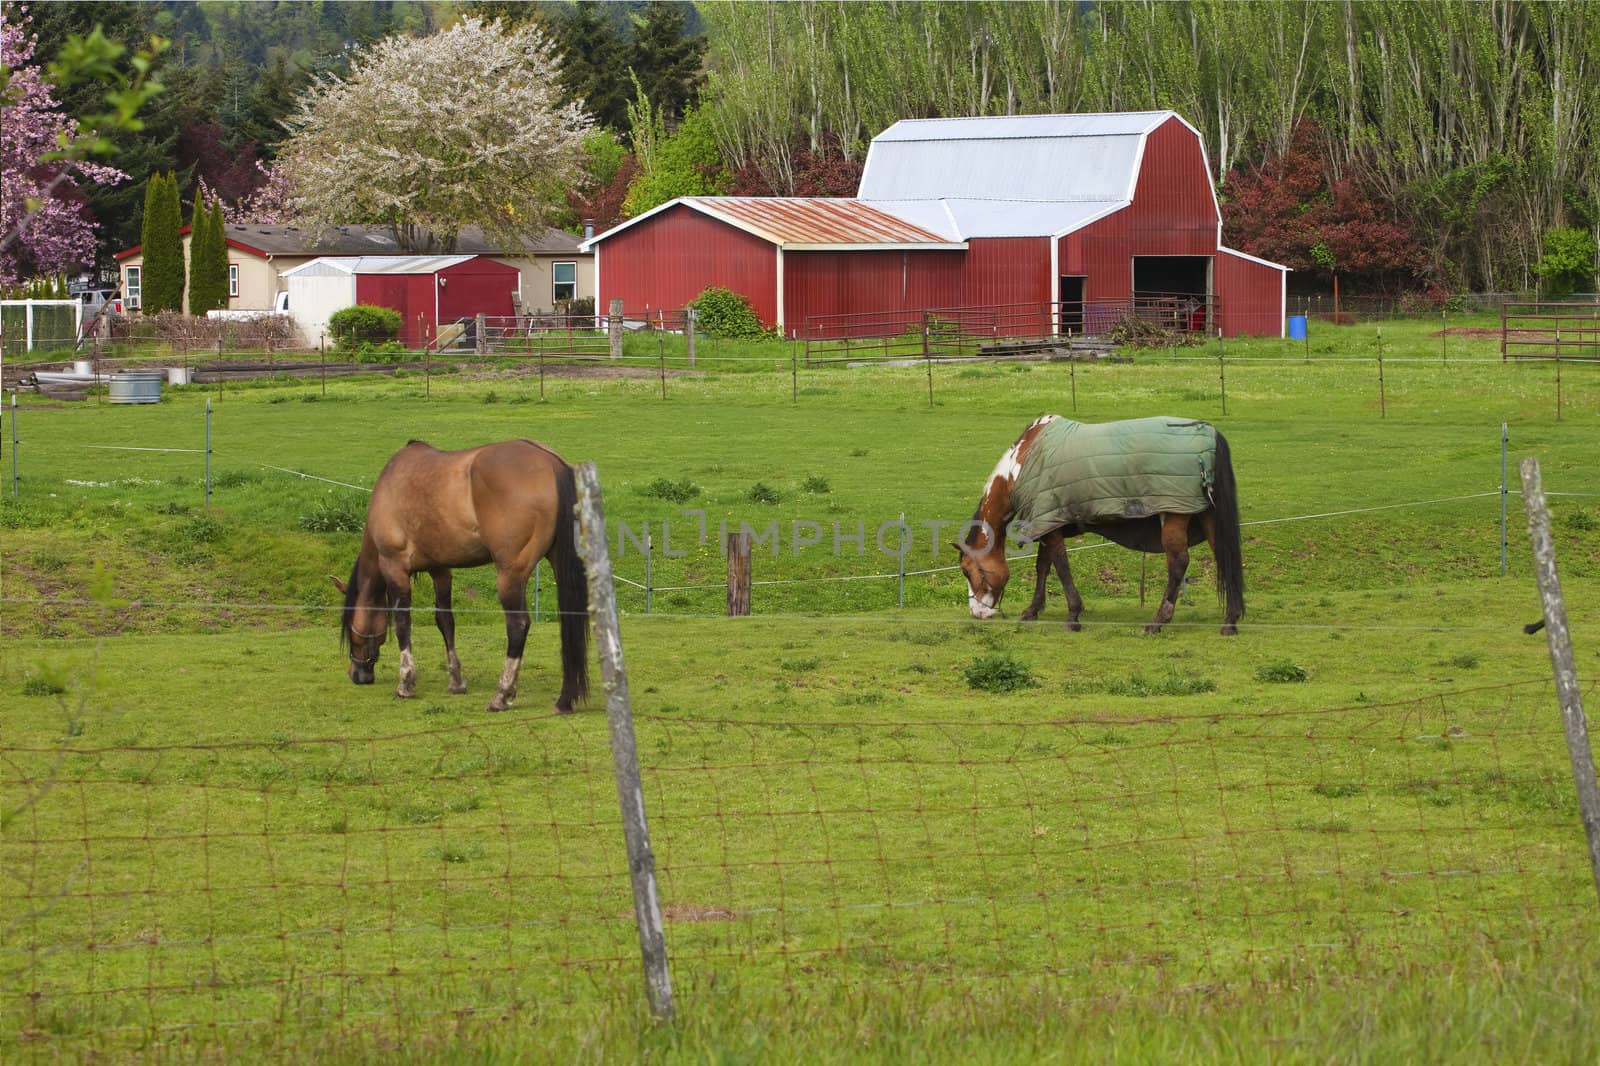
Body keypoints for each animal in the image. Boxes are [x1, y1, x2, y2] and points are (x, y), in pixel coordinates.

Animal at [331, 435, 588, 710]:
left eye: (350, 630)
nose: (357, 675)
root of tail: (551, 462)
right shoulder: (440, 569)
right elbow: (445, 620)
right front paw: (456, 682)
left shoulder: (395, 567)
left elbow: (402, 623)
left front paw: (406, 684)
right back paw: (565, 699)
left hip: (510, 575)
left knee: (518, 625)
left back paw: (502, 694)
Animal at [953, 412, 1241, 630]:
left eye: (967, 571)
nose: (978, 613)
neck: (1020, 464)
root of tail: (1210, 434)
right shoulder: (1048, 524)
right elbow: (1043, 566)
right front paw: (1033, 610)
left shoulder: (1050, 523)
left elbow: (1060, 566)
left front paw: (1073, 614)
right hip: (1206, 515)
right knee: (1222, 553)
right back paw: (1231, 619)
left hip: (1174, 514)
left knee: (1178, 563)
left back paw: (1159, 620)